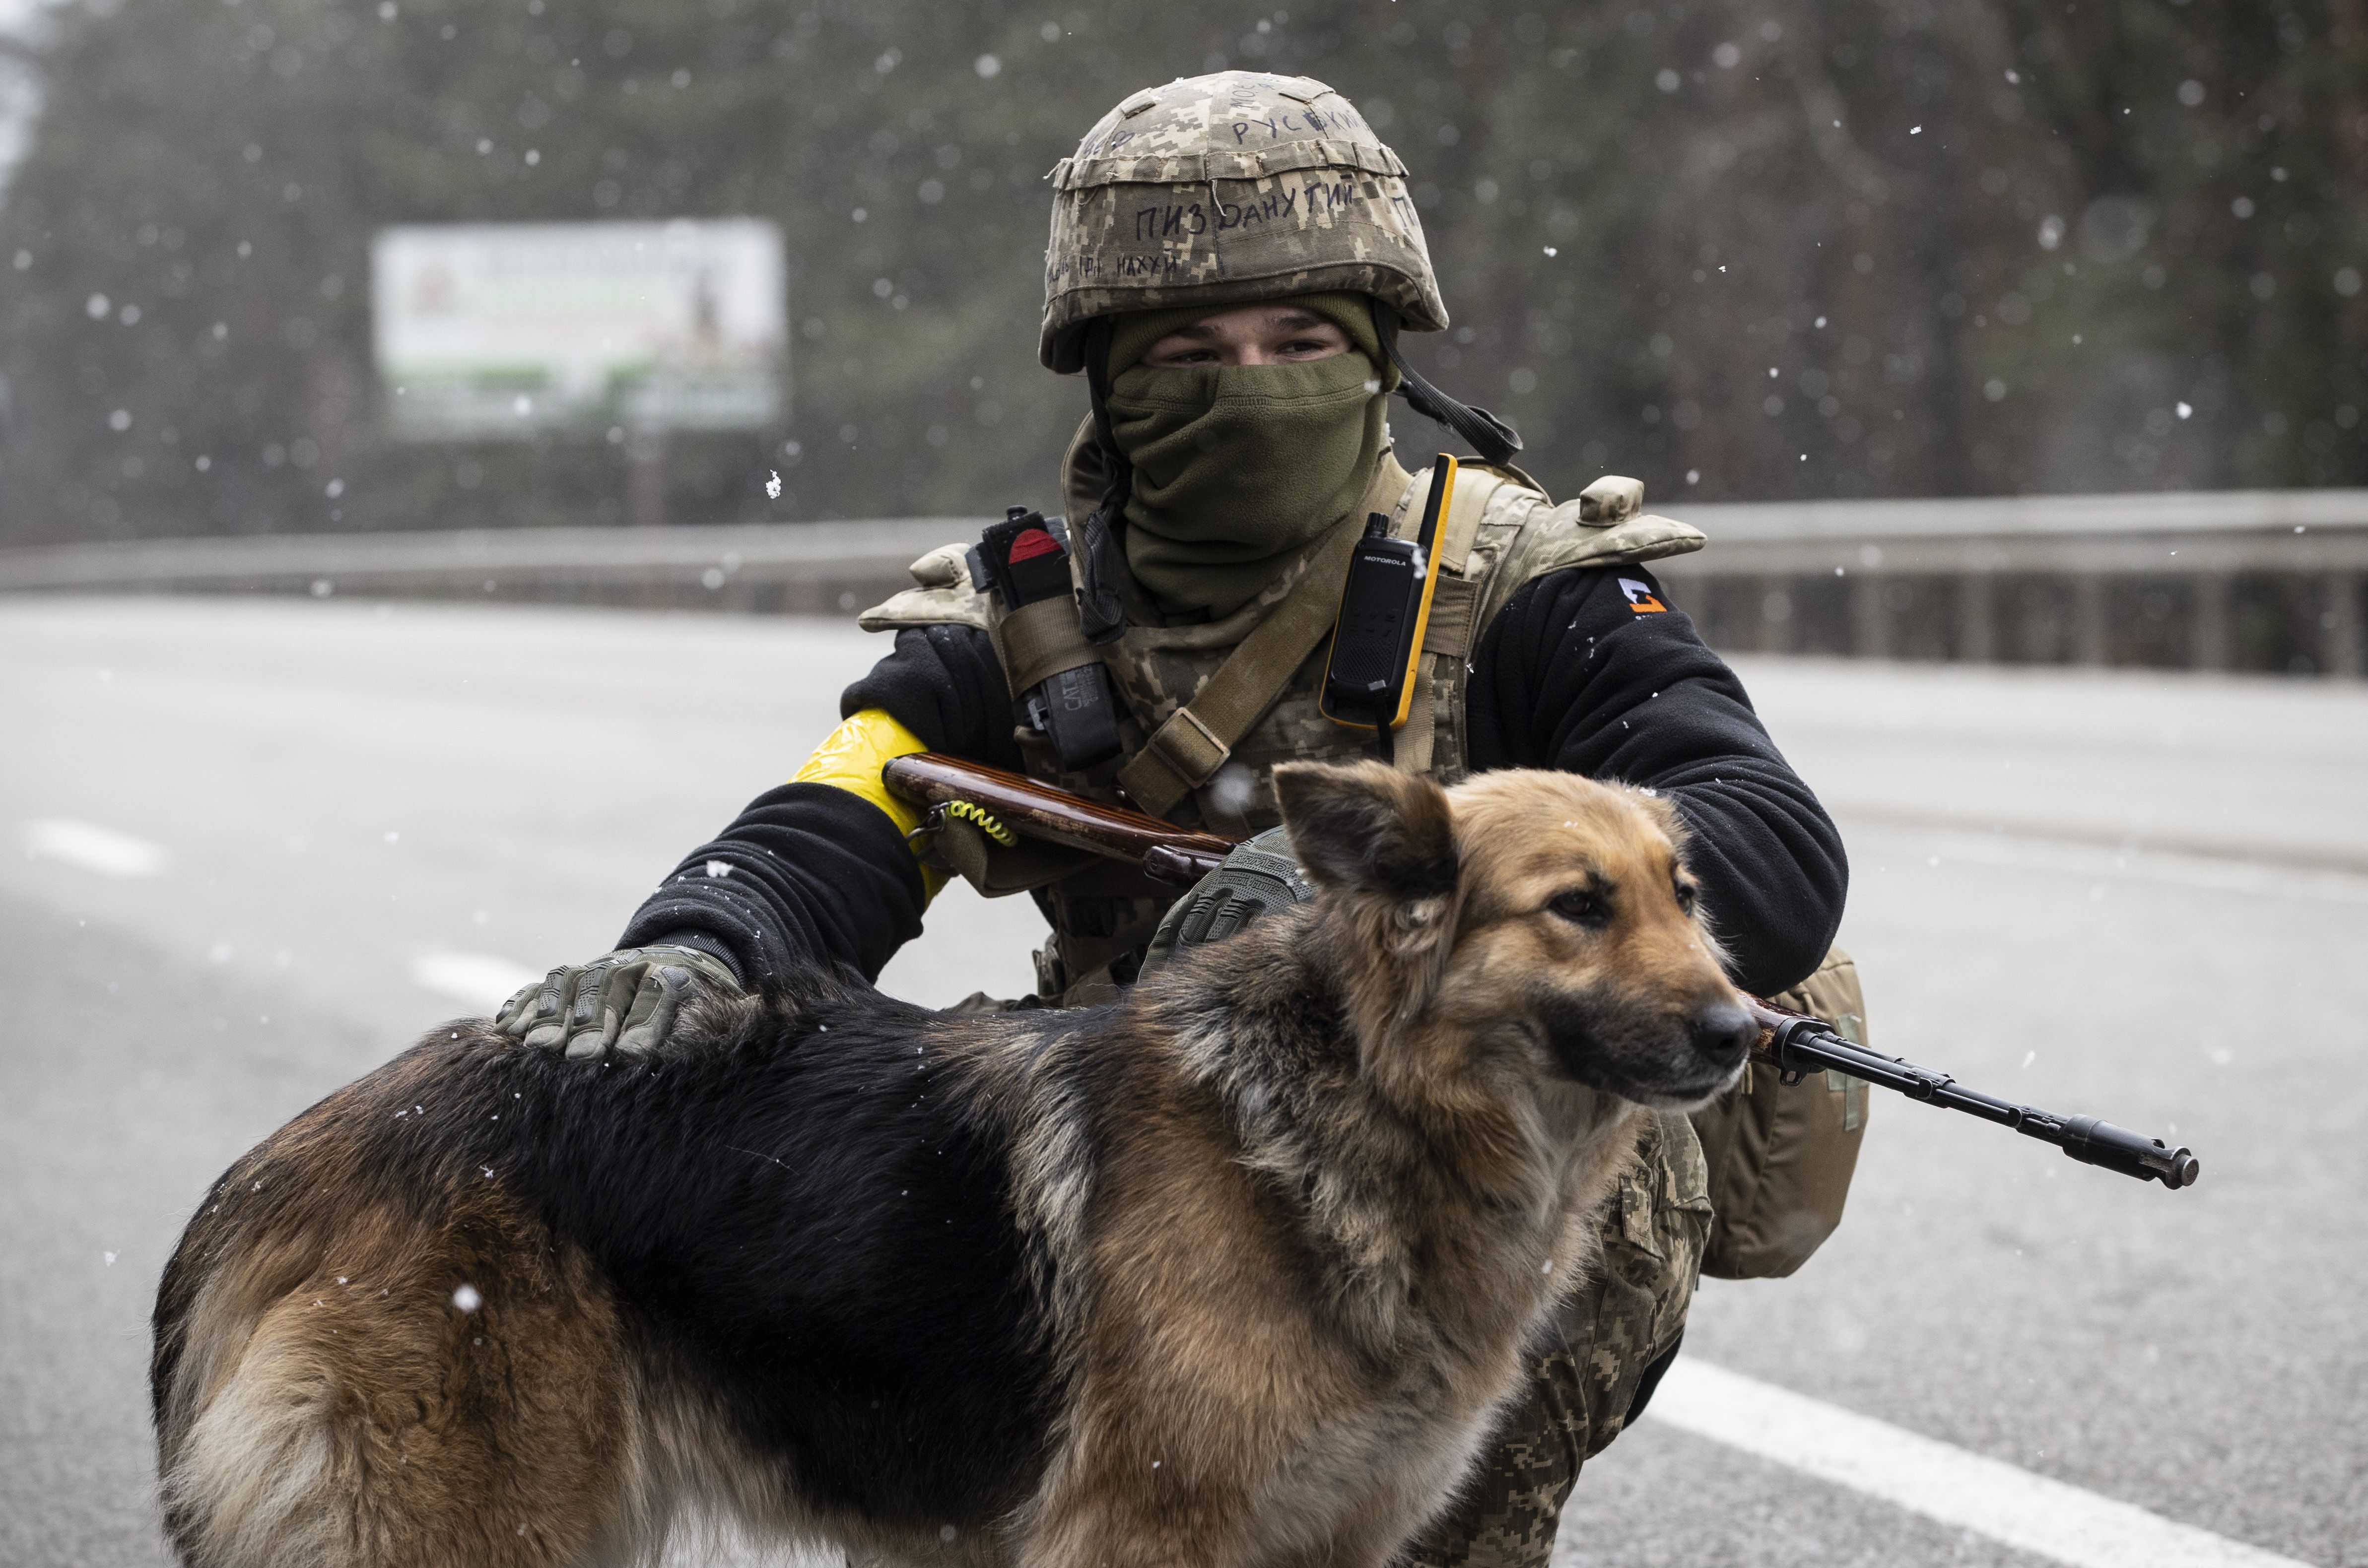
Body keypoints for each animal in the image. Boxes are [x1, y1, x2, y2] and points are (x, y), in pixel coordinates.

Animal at [152, 763, 1761, 1568]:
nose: (1745, 1030)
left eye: (1687, 894)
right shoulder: (1146, 1537)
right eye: (1576, 906)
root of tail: (285, 1159)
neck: (1351, 1109)